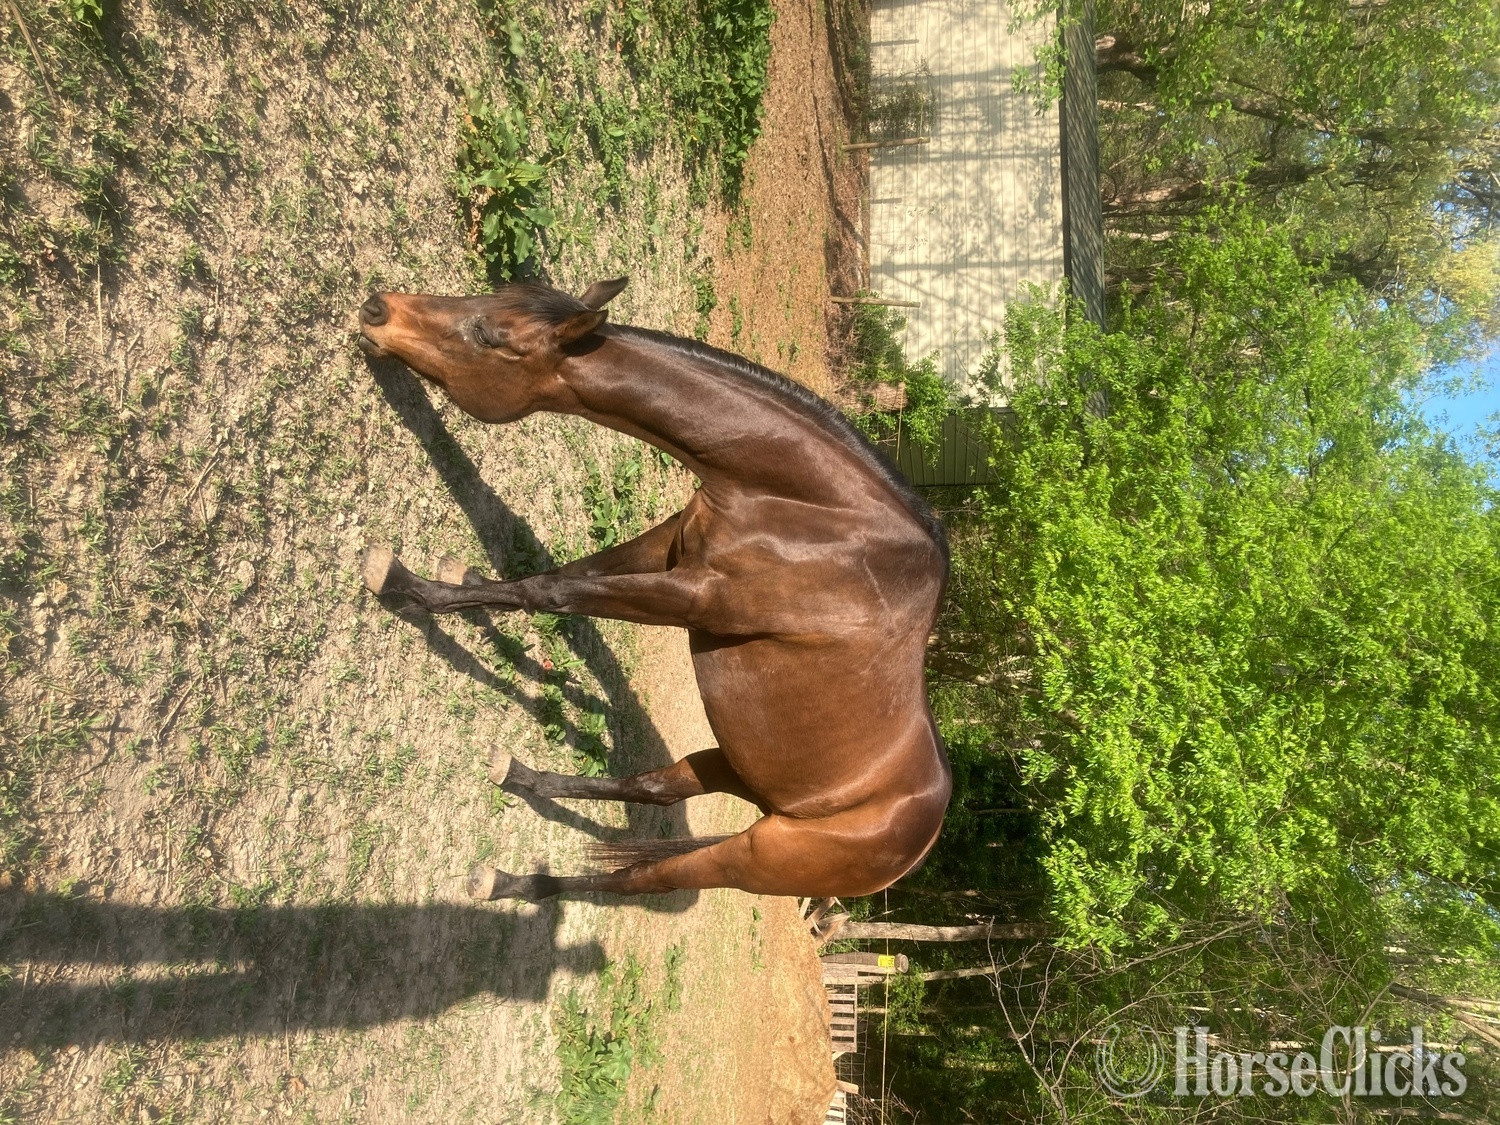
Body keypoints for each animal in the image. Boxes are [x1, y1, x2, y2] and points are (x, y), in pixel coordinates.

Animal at [356, 277, 951, 903]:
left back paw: (514, 883)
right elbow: (567, 573)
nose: (376, 309)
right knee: (649, 789)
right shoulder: (671, 543)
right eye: (492, 297)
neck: (822, 517)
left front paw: (407, 585)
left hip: (750, 859)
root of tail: (916, 846)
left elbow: (548, 591)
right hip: (732, 764)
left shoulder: (693, 598)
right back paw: (522, 778)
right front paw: (466, 583)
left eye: (490, 336)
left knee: (636, 880)